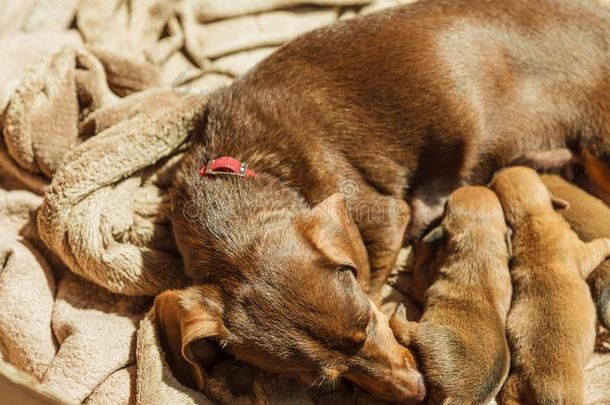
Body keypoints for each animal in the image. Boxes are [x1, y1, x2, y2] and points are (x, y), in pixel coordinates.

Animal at [388, 186, 510, 404]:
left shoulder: (425, 283)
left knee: (407, 332)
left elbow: (421, 266)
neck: (480, 238)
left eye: (445, 207)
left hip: (432, 335)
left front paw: (420, 245)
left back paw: (400, 313)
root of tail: (462, 397)